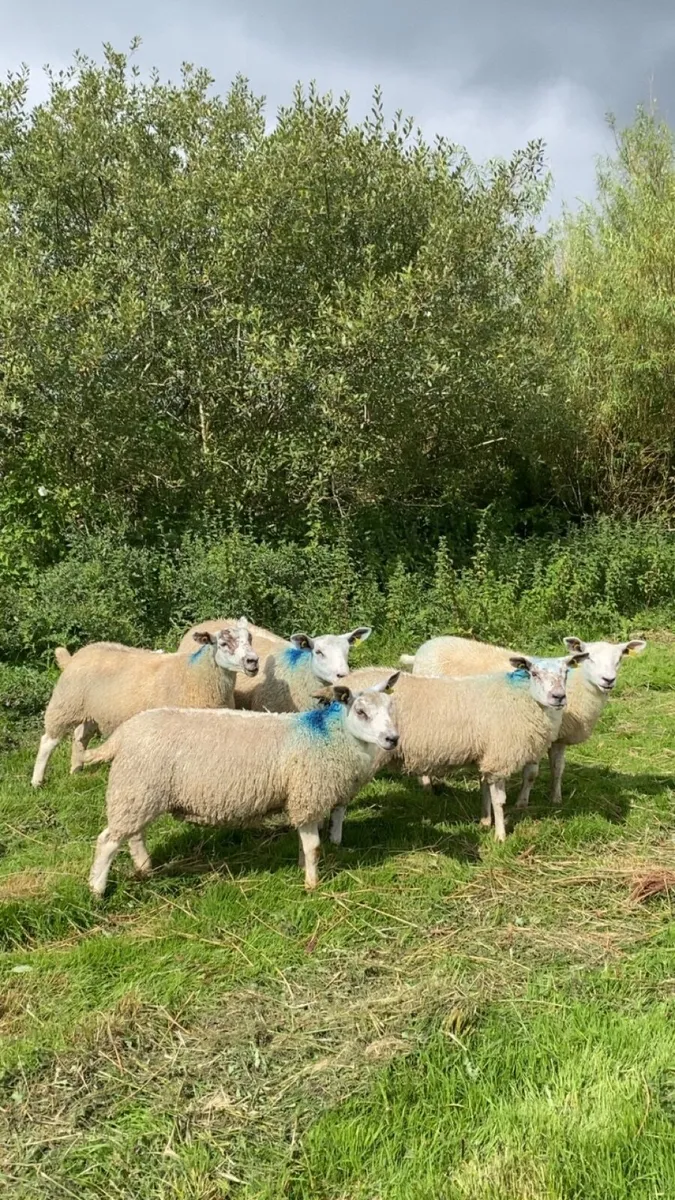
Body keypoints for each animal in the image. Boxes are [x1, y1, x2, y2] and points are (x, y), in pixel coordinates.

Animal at [31, 617, 259, 787]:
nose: (253, 661)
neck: (196, 674)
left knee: (80, 737)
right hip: (65, 704)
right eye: (223, 643)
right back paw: (37, 781)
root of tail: (74, 656)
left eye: (250, 639)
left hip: (91, 710)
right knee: (48, 741)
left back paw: (76, 769)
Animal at [83, 673, 400, 896]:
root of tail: (123, 734)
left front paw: (301, 867)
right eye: (360, 712)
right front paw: (312, 884)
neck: (326, 734)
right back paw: (97, 890)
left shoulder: (302, 798)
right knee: (108, 841)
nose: (392, 739)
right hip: (136, 788)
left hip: (140, 793)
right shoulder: (307, 795)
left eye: (390, 707)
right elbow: (314, 847)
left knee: (134, 835)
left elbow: (304, 843)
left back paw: (145, 868)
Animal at [335, 652, 587, 842]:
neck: (521, 698)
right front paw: (500, 836)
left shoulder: (487, 754)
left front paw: (485, 821)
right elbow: (499, 800)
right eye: (534, 673)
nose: (558, 697)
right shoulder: (499, 756)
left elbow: (485, 789)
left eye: (566, 673)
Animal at [402, 634, 647, 806]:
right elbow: (531, 774)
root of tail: (423, 649)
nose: (608, 680)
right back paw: (427, 787)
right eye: (590, 658)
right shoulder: (534, 734)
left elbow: (558, 769)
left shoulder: (557, 737)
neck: (578, 688)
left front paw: (556, 799)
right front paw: (522, 803)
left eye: (620, 659)